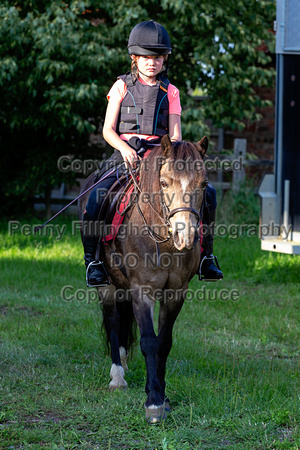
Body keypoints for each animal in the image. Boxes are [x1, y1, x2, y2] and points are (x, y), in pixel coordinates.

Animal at [78, 134, 207, 422]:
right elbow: (149, 341)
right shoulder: (142, 290)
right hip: (107, 285)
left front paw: (163, 395)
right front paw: (154, 402)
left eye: (204, 184)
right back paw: (117, 376)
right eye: (164, 182)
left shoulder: (176, 292)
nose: (185, 236)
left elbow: (164, 342)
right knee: (113, 322)